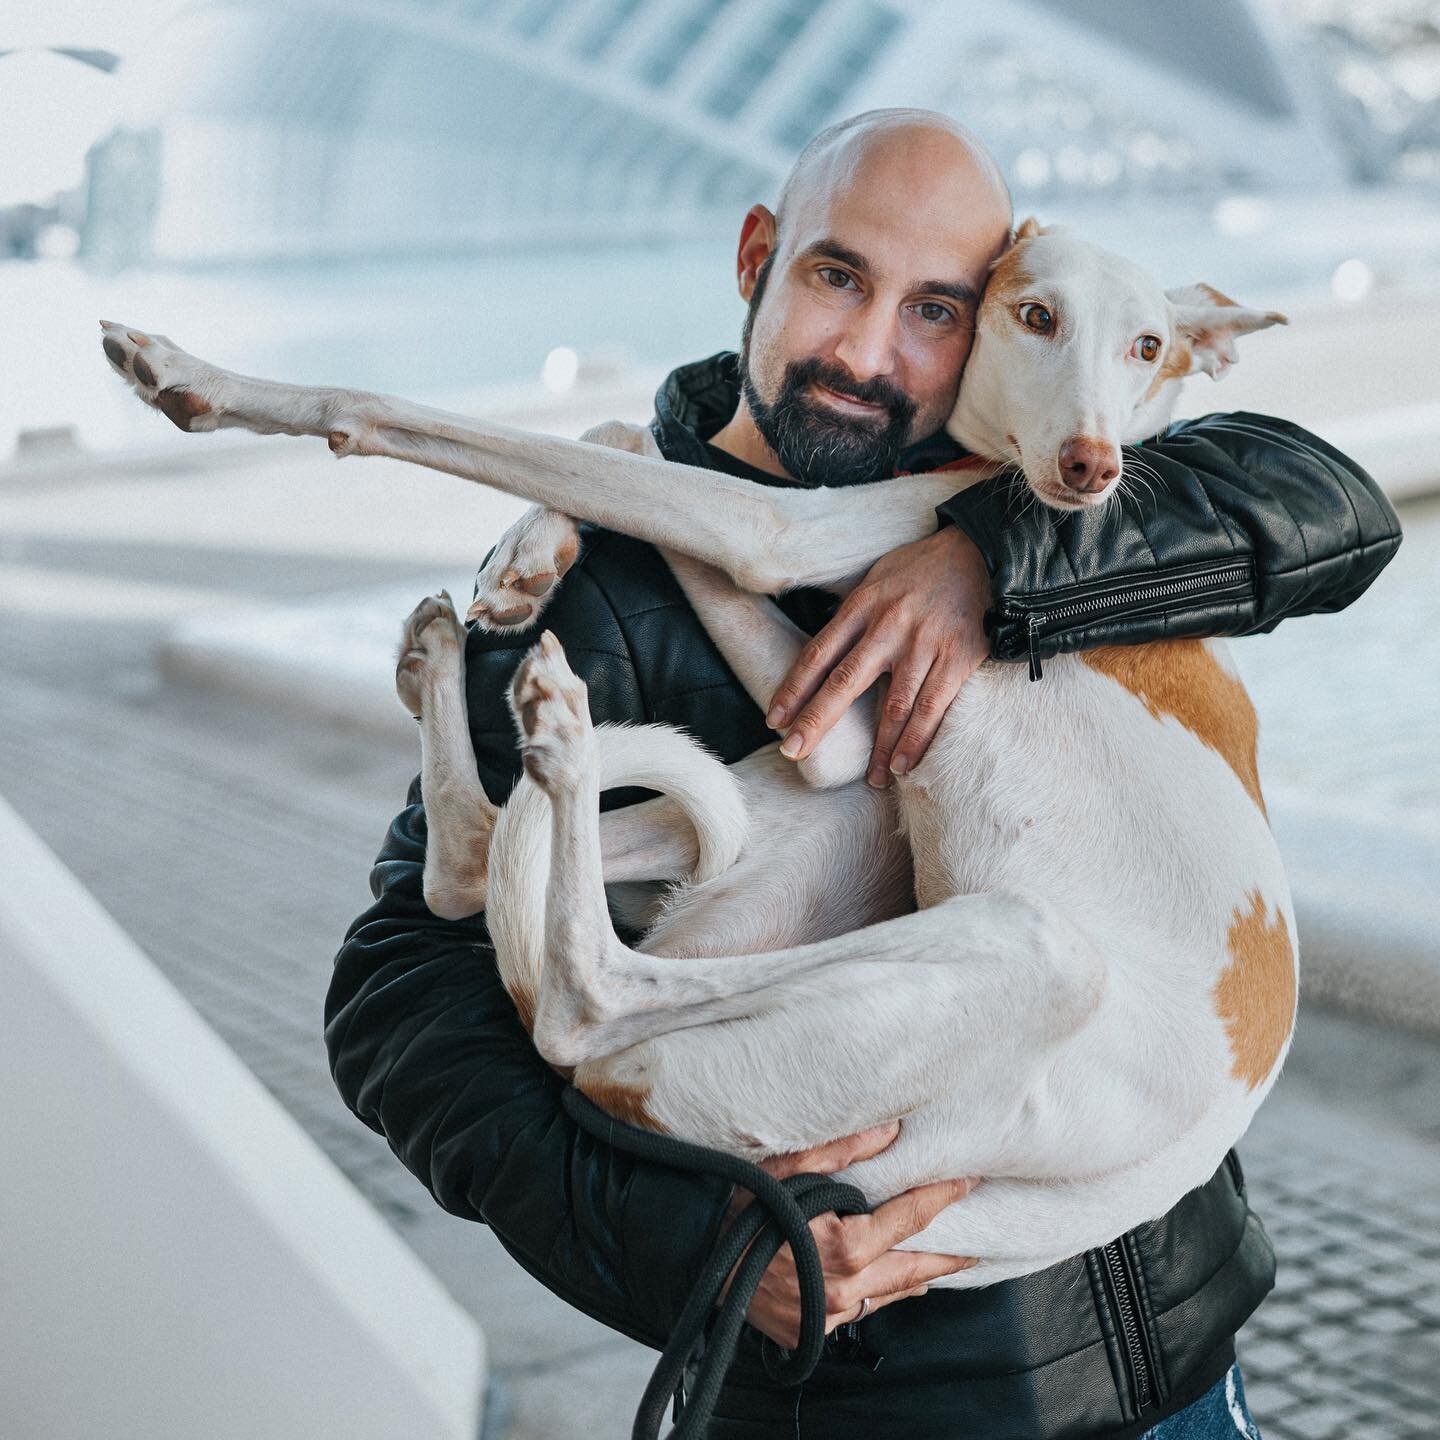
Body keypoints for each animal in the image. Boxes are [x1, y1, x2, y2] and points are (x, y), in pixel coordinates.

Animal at [101, 221, 1296, 1284]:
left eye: (1148, 346)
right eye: (1035, 315)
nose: (1090, 469)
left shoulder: (790, 542)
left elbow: (434, 417)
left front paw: (198, 381)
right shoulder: (840, 722)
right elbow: (616, 433)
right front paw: (533, 555)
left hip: (1022, 955)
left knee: (582, 994)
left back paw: (558, 738)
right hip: (832, 826)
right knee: (468, 865)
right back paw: (457, 668)